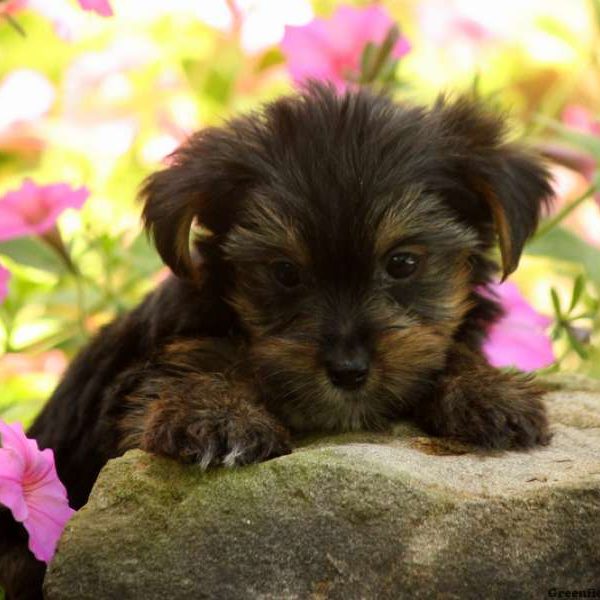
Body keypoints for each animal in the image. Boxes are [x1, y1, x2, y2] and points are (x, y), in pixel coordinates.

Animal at [1, 84, 552, 600]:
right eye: (285, 272)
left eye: (402, 263)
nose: (348, 369)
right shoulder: (138, 380)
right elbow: (192, 367)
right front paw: (219, 417)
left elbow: (450, 349)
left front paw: (486, 391)